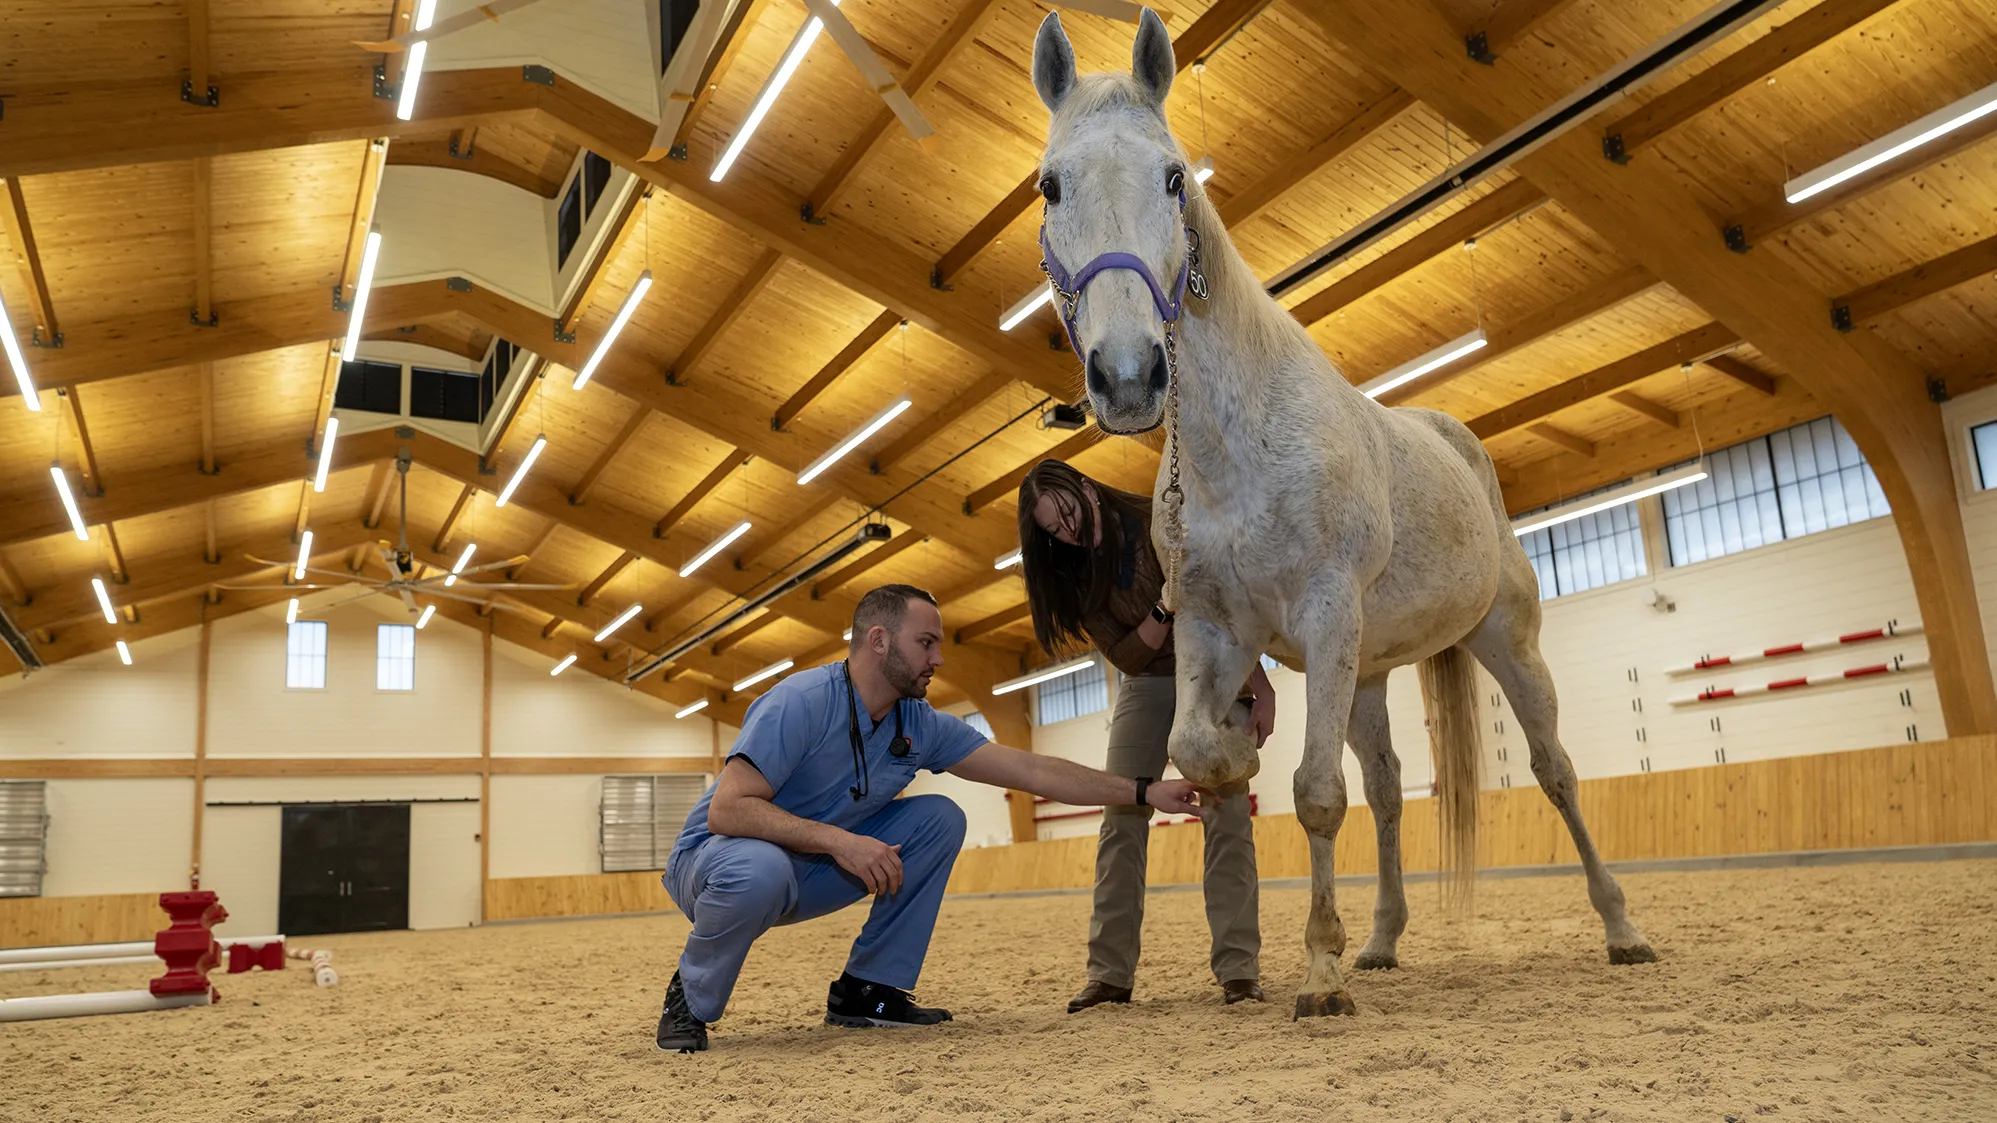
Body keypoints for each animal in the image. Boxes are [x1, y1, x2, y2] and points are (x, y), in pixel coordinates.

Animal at [1030, 8, 1653, 1015]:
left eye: (1173, 176)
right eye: (1051, 184)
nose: (1128, 374)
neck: (1237, 444)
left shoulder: (1325, 614)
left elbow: (1317, 792)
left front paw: (1317, 975)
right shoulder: (1212, 628)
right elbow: (1198, 746)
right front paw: (1235, 759)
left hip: (1502, 643)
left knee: (1553, 771)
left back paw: (1621, 928)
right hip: (1367, 671)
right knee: (1393, 788)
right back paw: (1382, 940)